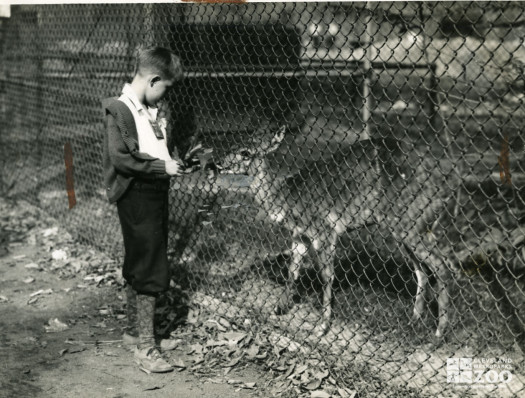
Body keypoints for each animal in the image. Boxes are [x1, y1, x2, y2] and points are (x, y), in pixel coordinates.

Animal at [248, 126, 456, 338]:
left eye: (246, 153)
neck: (285, 195)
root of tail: (446, 186)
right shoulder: (300, 236)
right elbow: (293, 270)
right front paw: (278, 308)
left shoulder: (325, 230)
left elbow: (327, 275)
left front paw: (322, 327)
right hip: (406, 229)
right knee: (422, 271)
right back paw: (413, 320)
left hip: (409, 223)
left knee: (441, 267)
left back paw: (439, 331)